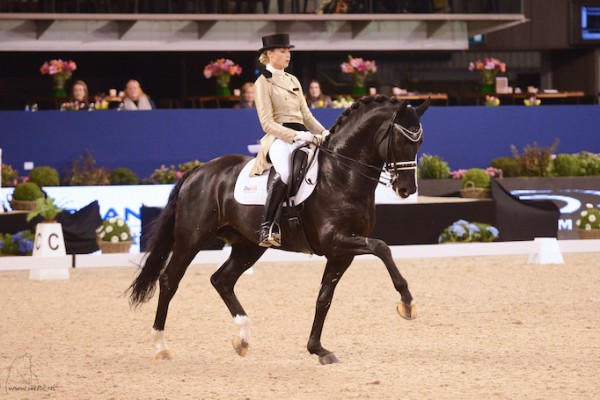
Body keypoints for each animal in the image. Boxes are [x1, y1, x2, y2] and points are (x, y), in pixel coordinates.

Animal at [129, 95, 428, 364]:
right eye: (401, 140)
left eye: (420, 142)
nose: (406, 190)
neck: (342, 174)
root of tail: (197, 171)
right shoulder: (336, 241)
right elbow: (382, 247)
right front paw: (407, 303)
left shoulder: (341, 253)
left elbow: (324, 298)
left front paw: (318, 349)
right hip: (191, 238)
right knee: (169, 280)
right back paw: (161, 347)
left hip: (248, 246)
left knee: (222, 280)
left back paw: (243, 339)